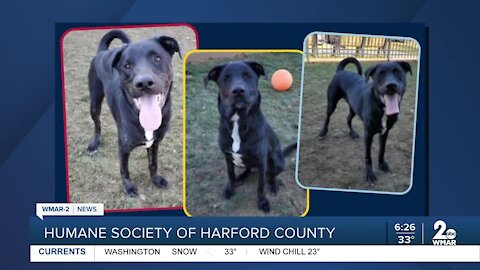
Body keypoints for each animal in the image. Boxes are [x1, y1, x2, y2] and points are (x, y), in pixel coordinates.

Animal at [86, 29, 182, 196]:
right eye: (127, 65)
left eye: (157, 58)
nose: (144, 83)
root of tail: (102, 51)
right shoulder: (123, 147)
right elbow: (124, 169)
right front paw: (128, 187)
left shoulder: (155, 142)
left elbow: (153, 163)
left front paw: (156, 179)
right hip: (94, 102)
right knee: (97, 124)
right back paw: (95, 144)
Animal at [203, 61, 296, 213]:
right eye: (225, 78)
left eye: (248, 75)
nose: (238, 91)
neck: (238, 120)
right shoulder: (227, 156)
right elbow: (230, 174)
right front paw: (230, 188)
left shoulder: (261, 160)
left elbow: (260, 186)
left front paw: (263, 201)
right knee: (247, 169)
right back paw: (241, 177)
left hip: (276, 161)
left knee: (272, 175)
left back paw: (273, 185)